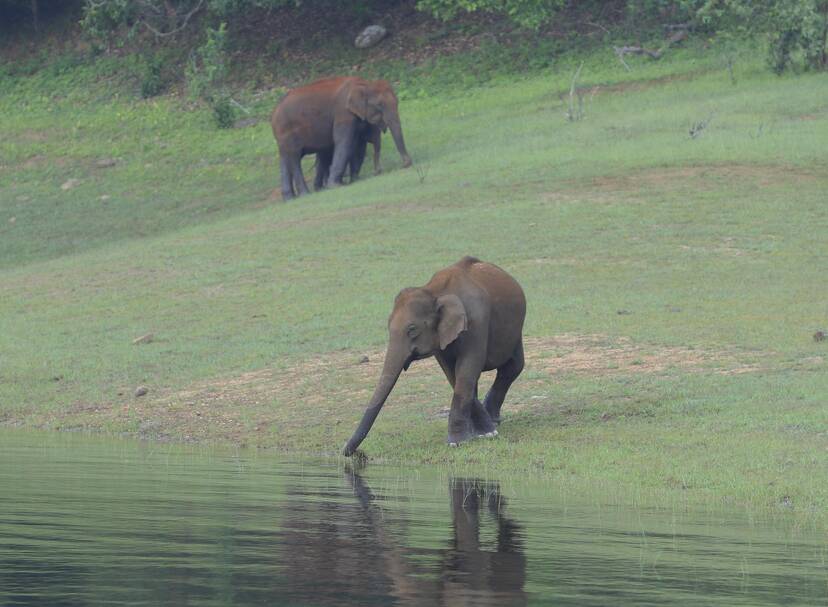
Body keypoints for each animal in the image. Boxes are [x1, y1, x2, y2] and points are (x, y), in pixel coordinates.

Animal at [272, 75, 414, 200]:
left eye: (397, 102)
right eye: (380, 105)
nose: (405, 164)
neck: (364, 84)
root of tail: (273, 114)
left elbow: (359, 145)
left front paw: (355, 180)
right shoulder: (343, 113)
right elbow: (343, 142)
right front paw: (336, 186)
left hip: (282, 138)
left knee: (285, 159)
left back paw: (289, 198)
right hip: (287, 132)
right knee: (294, 158)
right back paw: (305, 194)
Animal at [344, 255, 528, 456]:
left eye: (412, 329)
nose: (350, 453)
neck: (434, 291)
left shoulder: (477, 322)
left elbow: (467, 369)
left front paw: (462, 441)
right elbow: (453, 374)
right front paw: (480, 434)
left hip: (516, 327)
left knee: (513, 366)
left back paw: (494, 420)